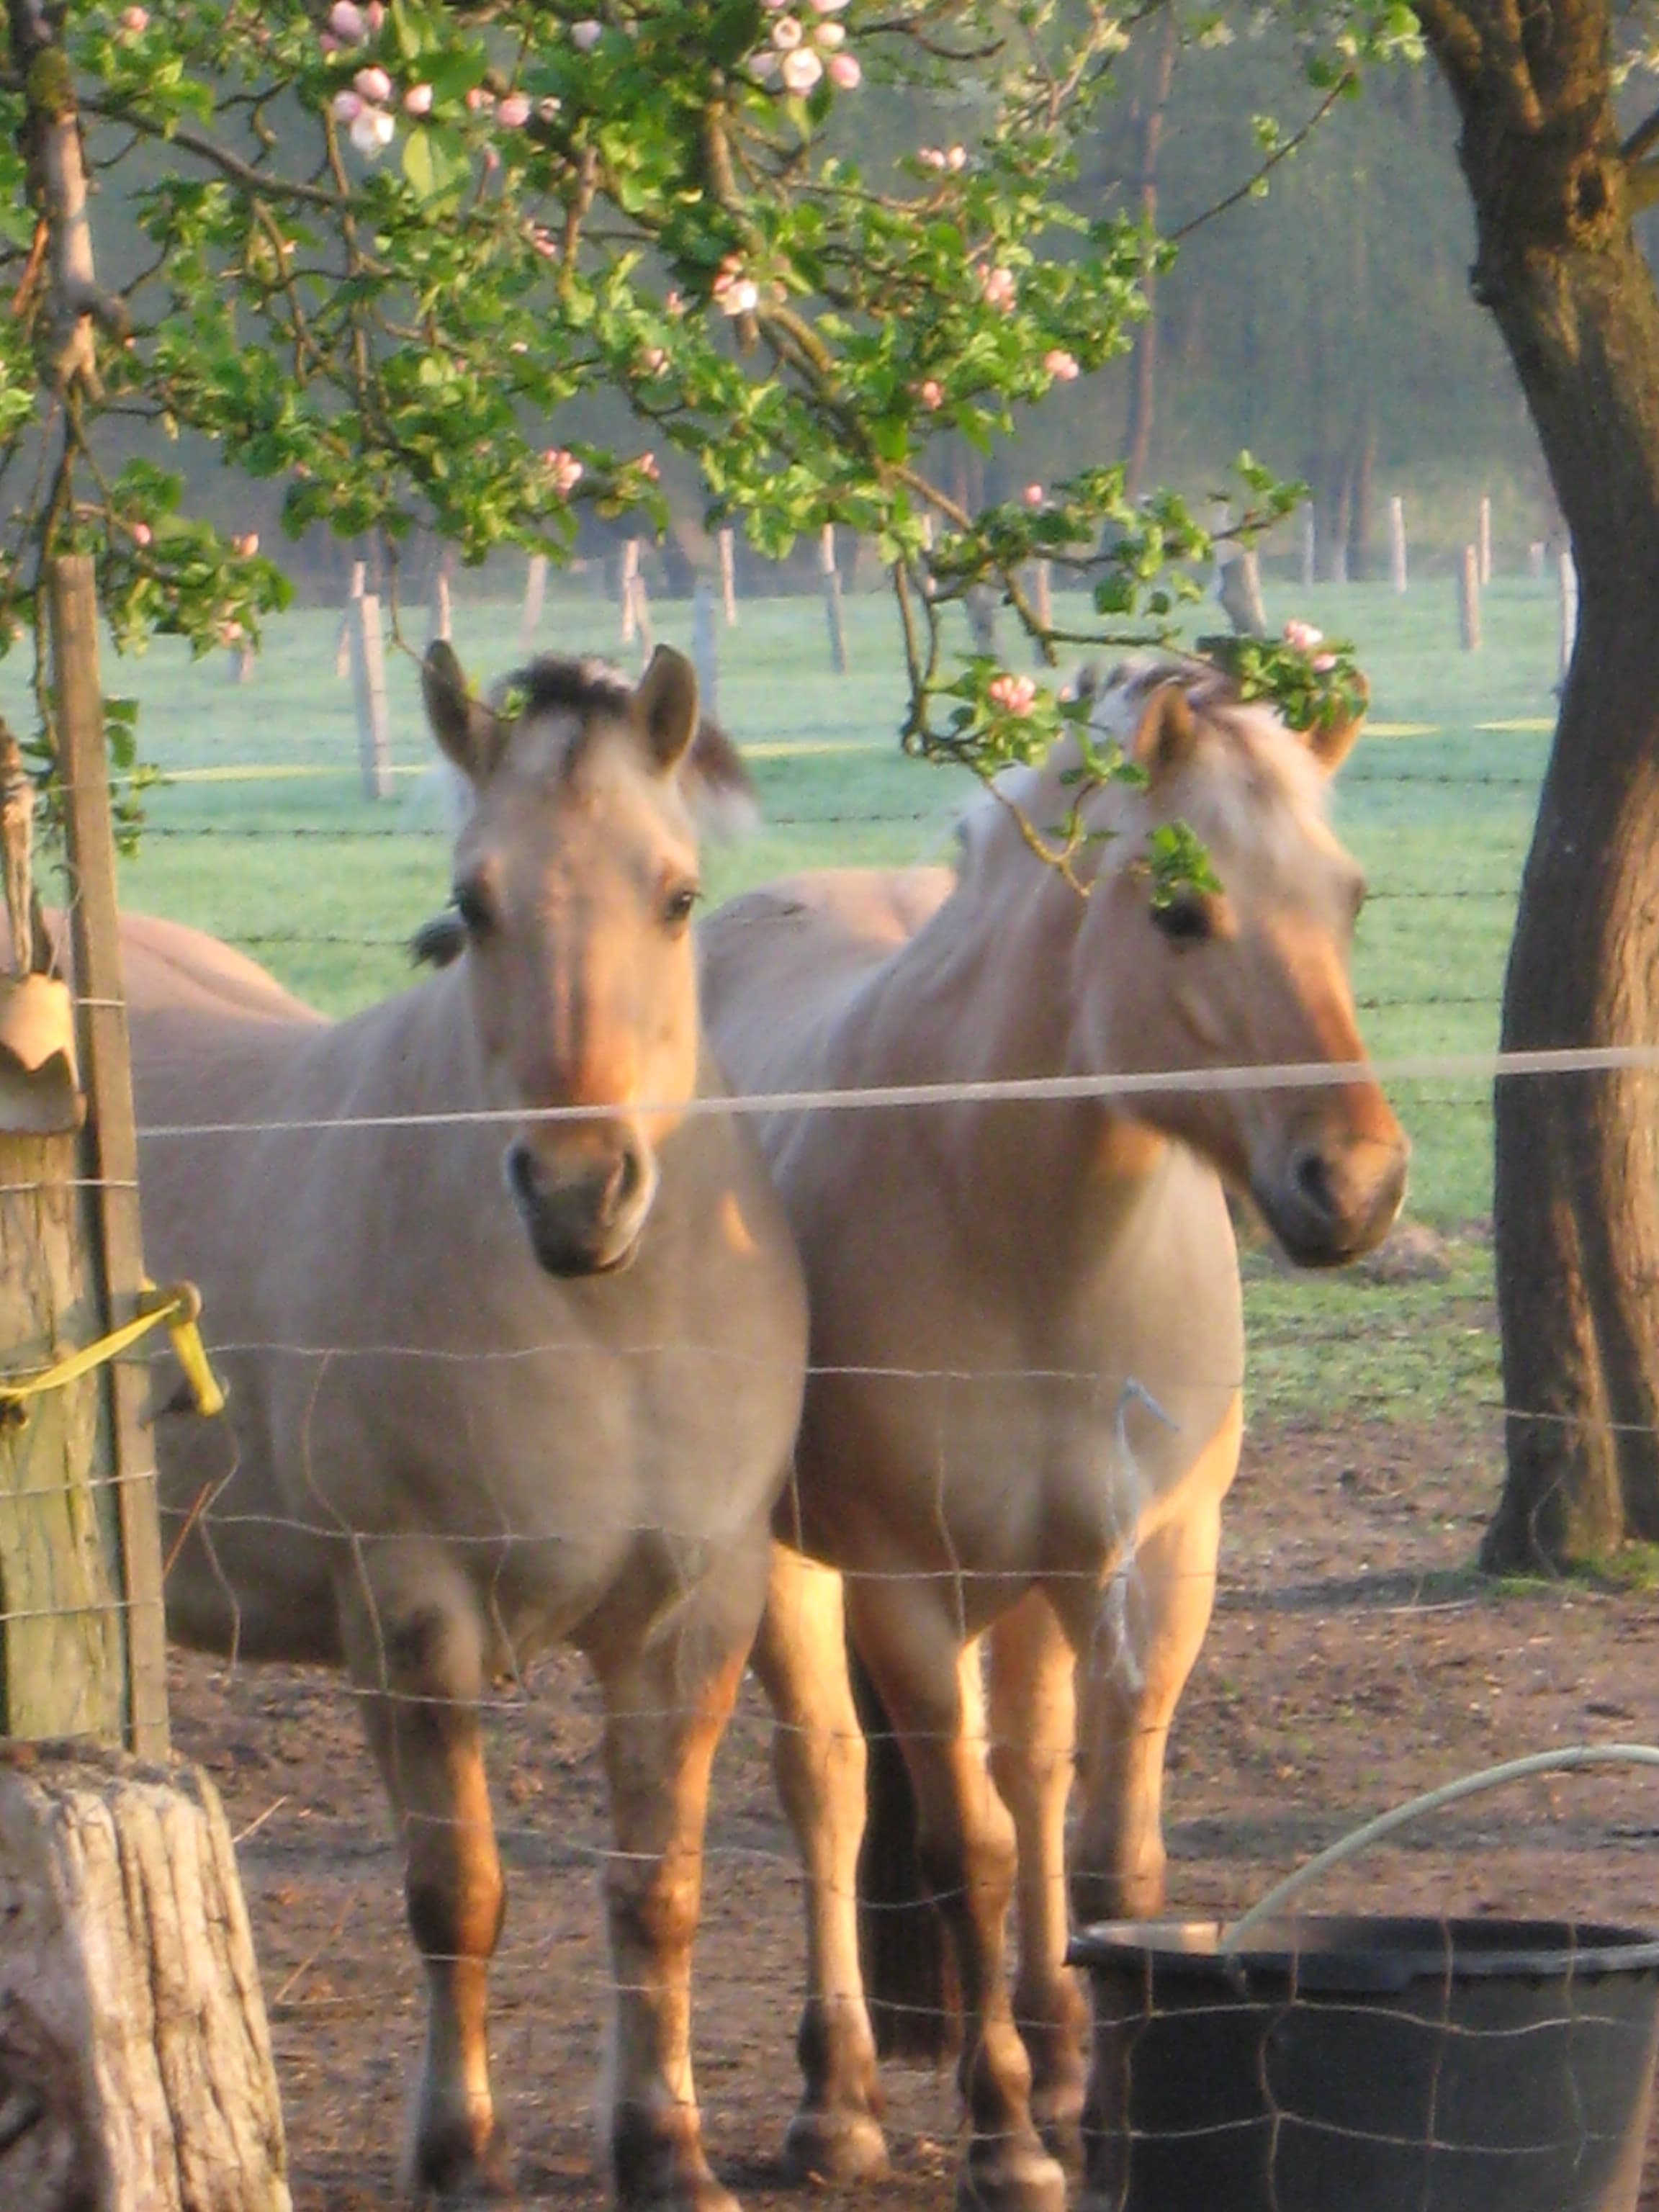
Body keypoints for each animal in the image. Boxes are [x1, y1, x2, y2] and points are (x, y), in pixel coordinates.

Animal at [128, 646, 805, 2212]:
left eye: (677, 893)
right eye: (472, 904)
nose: (576, 1189)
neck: (604, 1326)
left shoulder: (696, 1612)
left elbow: (656, 1890)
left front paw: (666, 2149)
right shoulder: (412, 1611)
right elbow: (460, 1897)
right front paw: (458, 2156)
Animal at [703, 659, 1416, 2212]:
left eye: (1348, 899)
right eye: (1180, 911)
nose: (1357, 1185)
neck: (1021, 1228)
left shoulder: (1154, 1567)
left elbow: (1104, 1862)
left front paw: (1102, 2108)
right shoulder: (907, 1584)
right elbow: (963, 1848)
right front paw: (1006, 2135)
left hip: (1035, 1592)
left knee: (1030, 1772)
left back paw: (1061, 2051)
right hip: (799, 1568)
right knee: (829, 1785)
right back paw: (839, 2101)